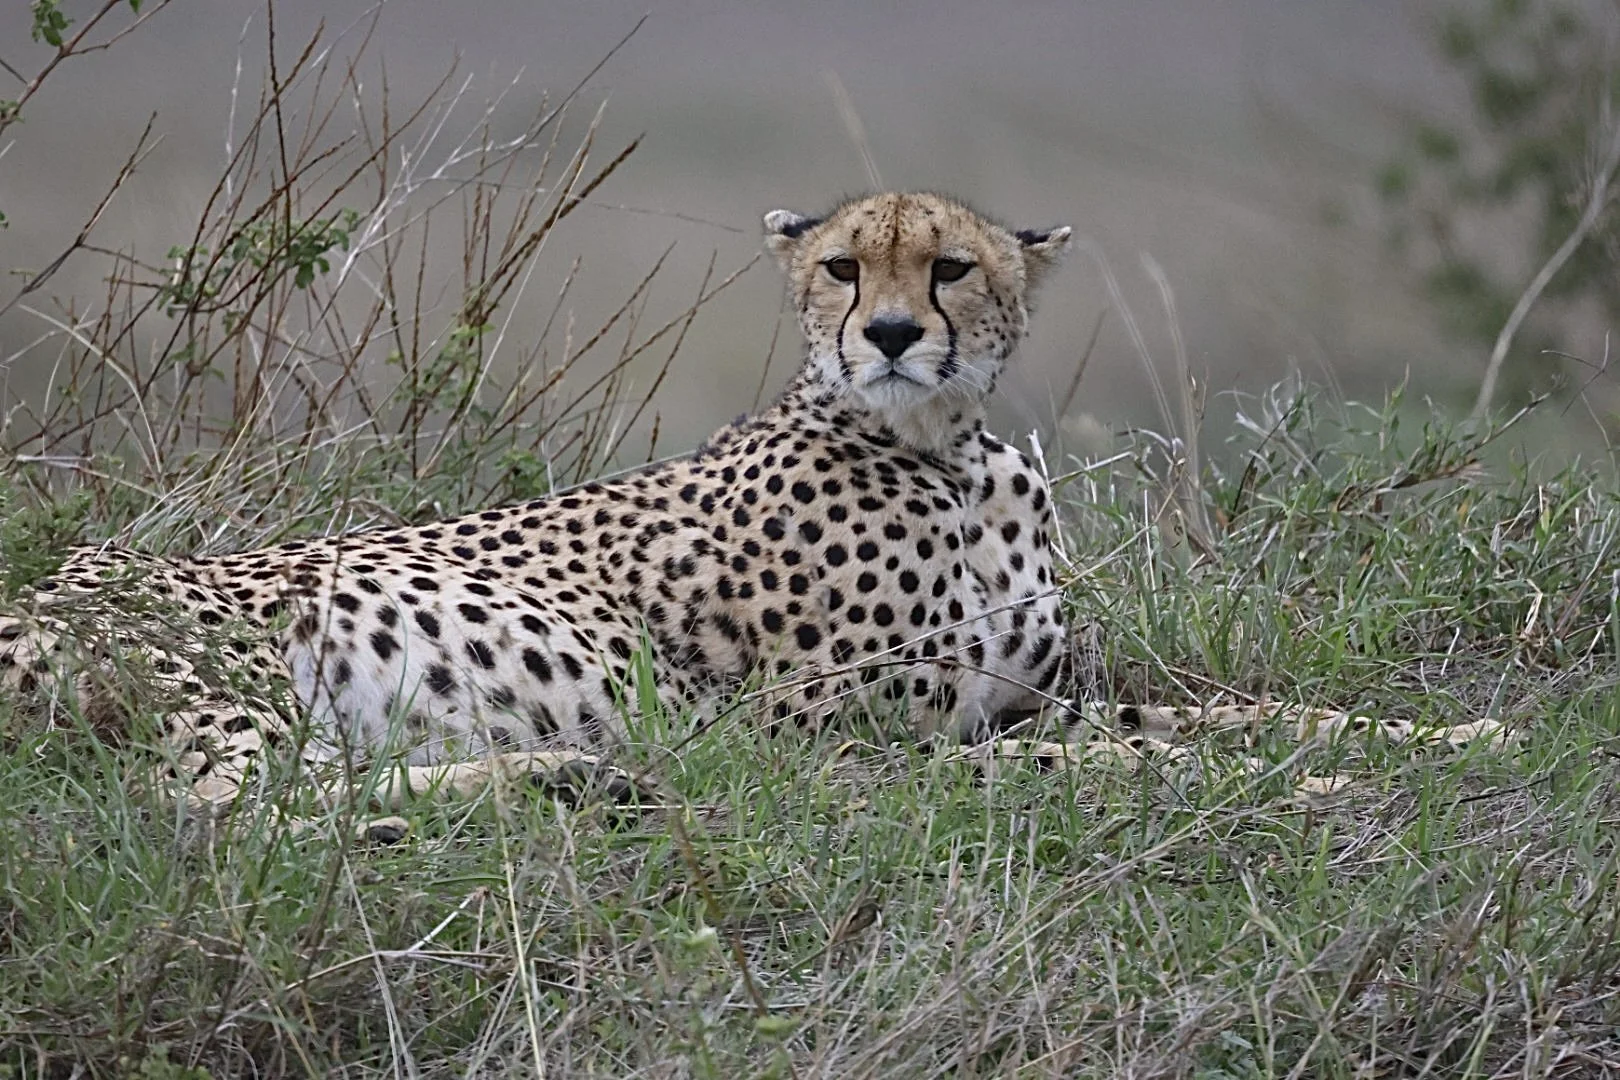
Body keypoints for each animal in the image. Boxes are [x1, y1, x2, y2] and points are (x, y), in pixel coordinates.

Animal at [0, 191, 1506, 837]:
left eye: (951, 268)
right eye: (843, 267)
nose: (890, 332)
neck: (950, 455)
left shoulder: (1038, 694)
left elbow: (1240, 713)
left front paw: (1451, 737)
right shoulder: (841, 745)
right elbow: (1127, 760)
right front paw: (1312, 786)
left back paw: (569, 775)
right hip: (222, 674)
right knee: (221, 813)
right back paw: (558, 781)